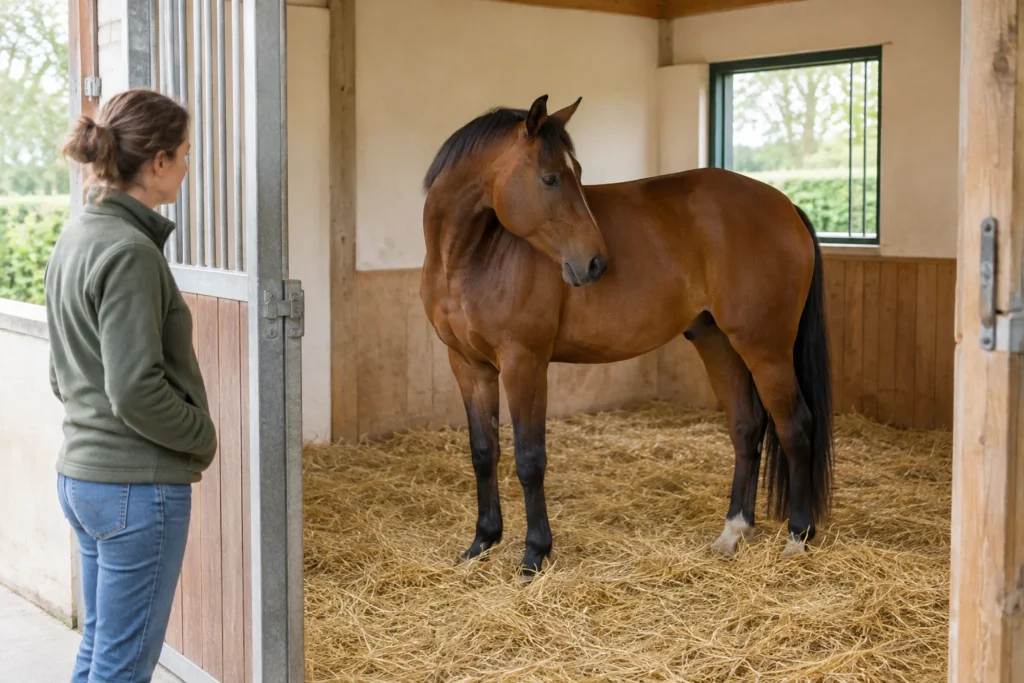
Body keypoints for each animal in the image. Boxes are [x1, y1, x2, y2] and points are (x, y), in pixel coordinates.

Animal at [419, 94, 833, 580]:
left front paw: (534, 554)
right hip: (719, 343)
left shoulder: (525, 363)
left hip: (765, 349)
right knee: (747, 427)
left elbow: (529, 458)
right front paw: (482, 542)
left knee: (795, 427)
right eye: (551, 178)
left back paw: (798, 537)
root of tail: (786, 206)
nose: (596, 262)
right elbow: (484, 452)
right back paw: (733, 532)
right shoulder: (468, 365)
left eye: (576, 174)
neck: (470, 258)